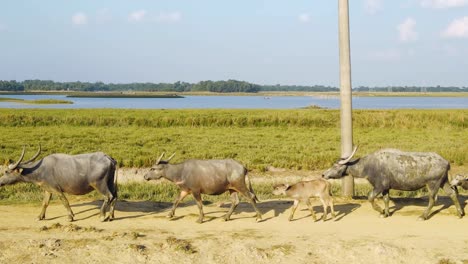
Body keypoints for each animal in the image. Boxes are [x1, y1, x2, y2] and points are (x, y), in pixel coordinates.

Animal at [322, 147, 464, 220]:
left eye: (335, 166)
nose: (323, 174)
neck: (368, 166)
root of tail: (446, 162)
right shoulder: (386, 188)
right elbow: (386, 199)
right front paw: (386, 213)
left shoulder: (379, 186)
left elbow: (370, 197)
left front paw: (380, 211)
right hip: (443, 182)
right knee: (452, 194)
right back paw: (460, 213)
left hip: (432, 184)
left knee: (432, 200)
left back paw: (423, 216)